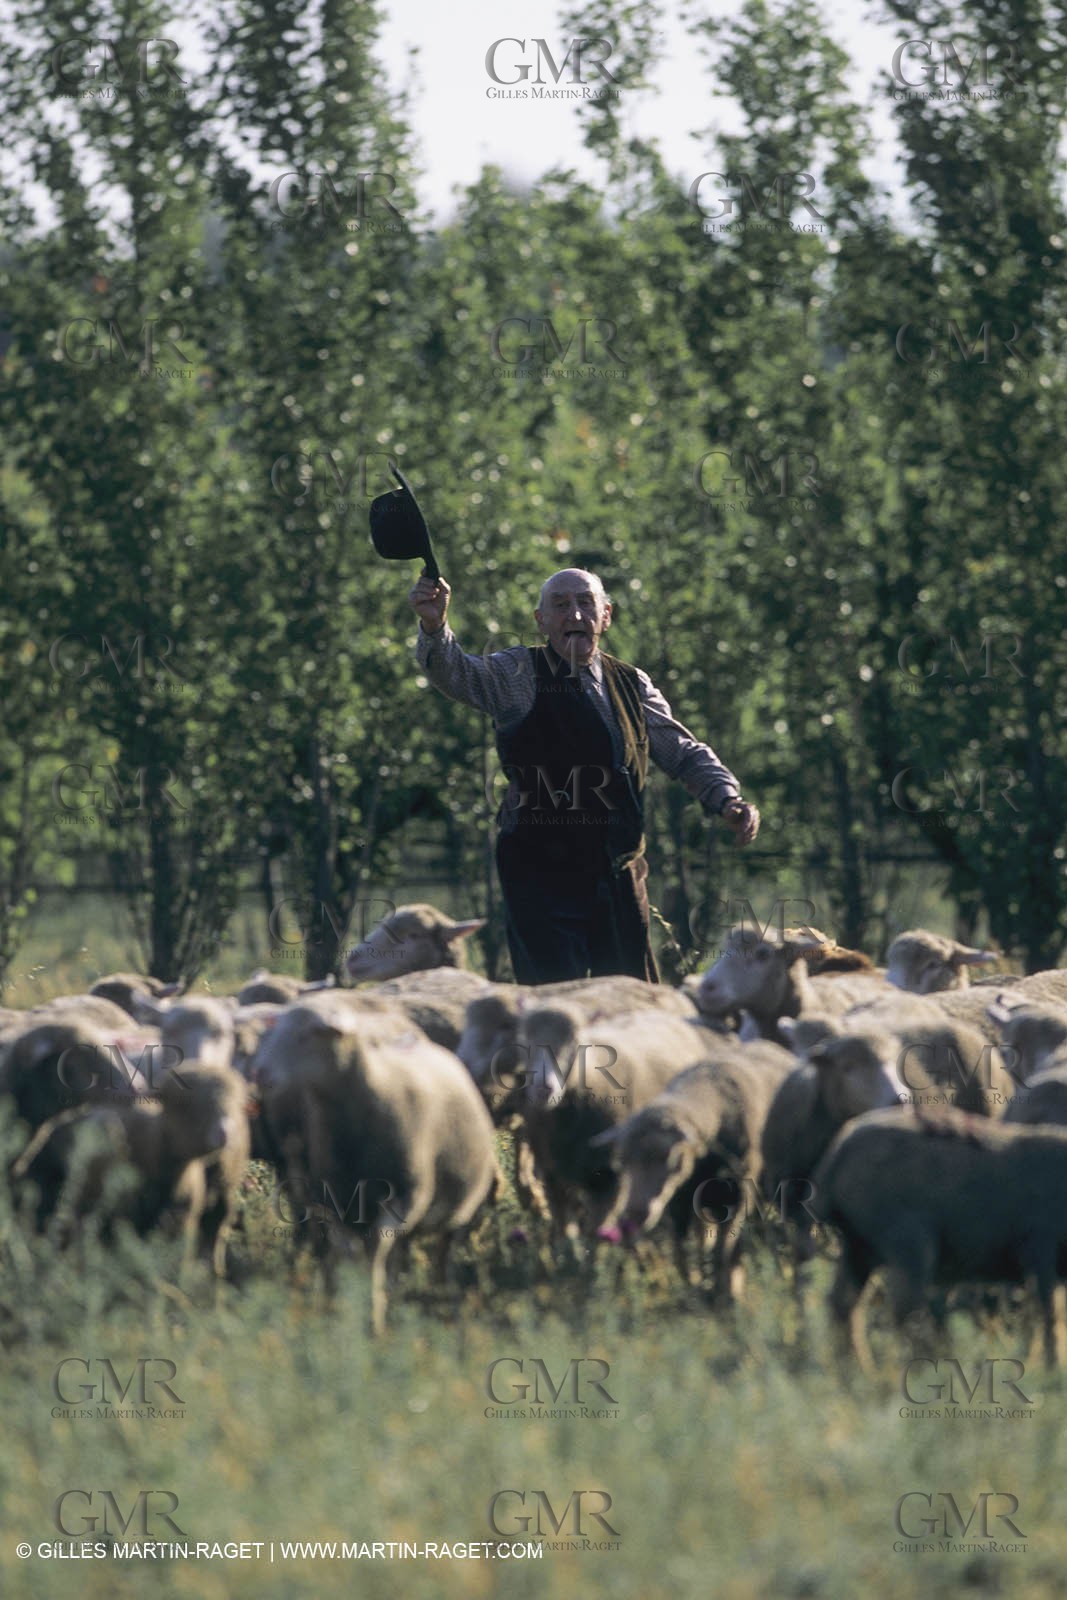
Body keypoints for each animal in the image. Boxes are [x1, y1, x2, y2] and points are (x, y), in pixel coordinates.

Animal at [254, 994, 499, 1333]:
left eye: (307, 1035)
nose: (260, 1074)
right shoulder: (335, 1203)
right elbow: (350, 1254)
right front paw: (346, 1310)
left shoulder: (403, 1198)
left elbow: (374, 1253)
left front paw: (372, 1319)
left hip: (455, 1213)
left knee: (441, 1259)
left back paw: (442, 1307)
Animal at [591, 1039, 794, 1298]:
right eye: (622, 1162)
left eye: (669, 1158)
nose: (634, 1216)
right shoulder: (680, 1202)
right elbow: (681, 1253)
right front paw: (696, 1288)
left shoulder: (739, 1194)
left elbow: (722, 1250)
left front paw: (722, 1296)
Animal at [811, 1107, 1067, 1366]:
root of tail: (840, 1149)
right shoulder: (1039, 1252)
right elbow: (1050, 1316)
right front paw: (1051, 1365)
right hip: (908, 1245)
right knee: (903, 1309)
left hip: (857, 1247)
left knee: (843, 1304)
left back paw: (856, 1368)